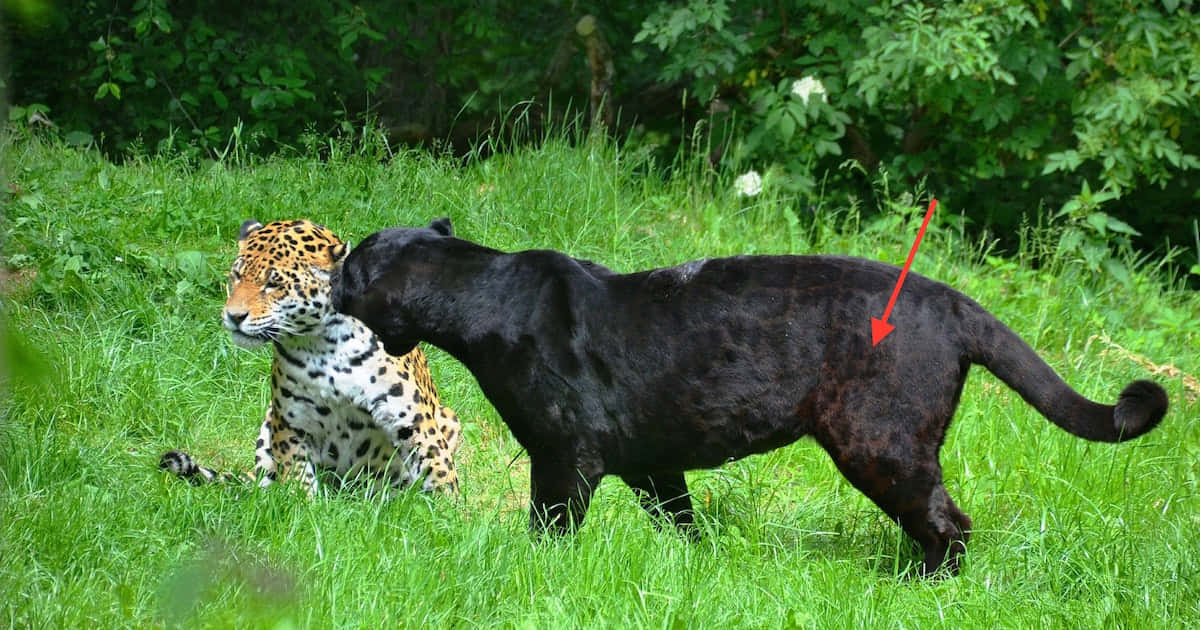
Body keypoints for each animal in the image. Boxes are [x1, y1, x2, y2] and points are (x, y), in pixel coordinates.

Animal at [160, 218, 461, 496]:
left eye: (273, 283)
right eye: (236, 275)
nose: (233, 316)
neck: (323, 345)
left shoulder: (410, 418)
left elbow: (439, 470)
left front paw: (448, 510)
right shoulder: (291, 422)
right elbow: (297, 478)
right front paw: (303, 505)